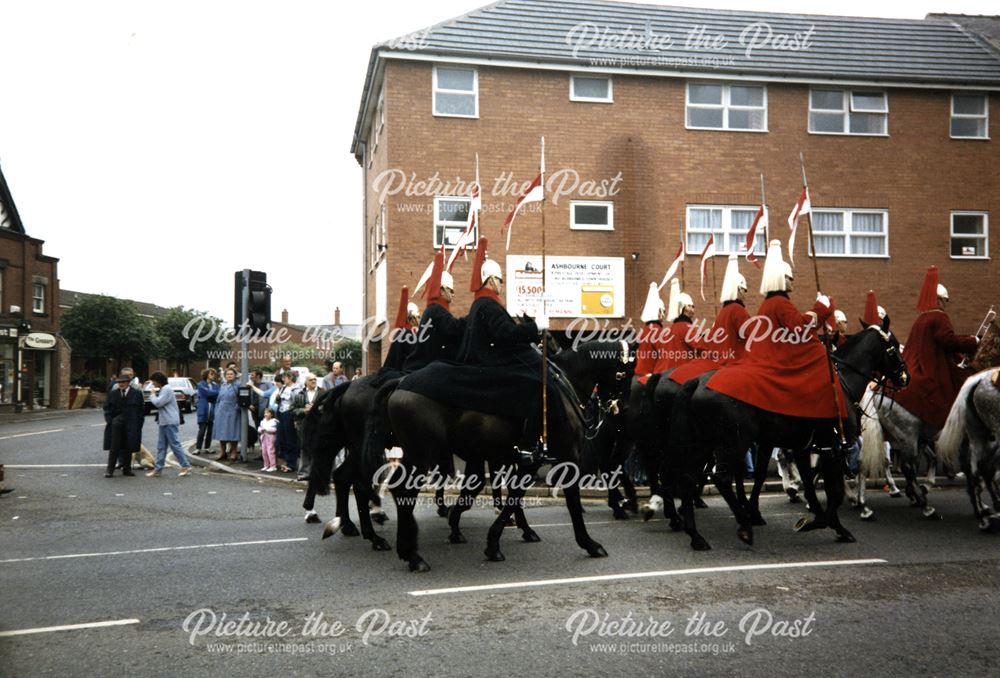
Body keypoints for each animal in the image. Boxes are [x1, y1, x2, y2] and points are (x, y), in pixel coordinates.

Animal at [378, 342, 628, 572]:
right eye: (625, 371)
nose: (617, 411)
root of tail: (401, 383)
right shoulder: (562, 458)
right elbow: (566, 502)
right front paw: (589, 543)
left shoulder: (513, 460)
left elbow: (507, 494)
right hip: (421, 455)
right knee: (404, 491)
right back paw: (412, 555)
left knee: (401, 489)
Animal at [668, 328, 912, 552]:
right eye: (894, 345)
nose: (905, 377)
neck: (842, 385)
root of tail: (696, 382)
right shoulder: (833, 448)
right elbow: (834, 491)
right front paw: (827, 523)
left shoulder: (804, 446)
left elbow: (810, 483)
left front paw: (816, 515)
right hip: (733, 444)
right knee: (721, 478)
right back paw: (743, 526)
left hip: (703, 444)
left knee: (689, 478)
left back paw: (696, 534)